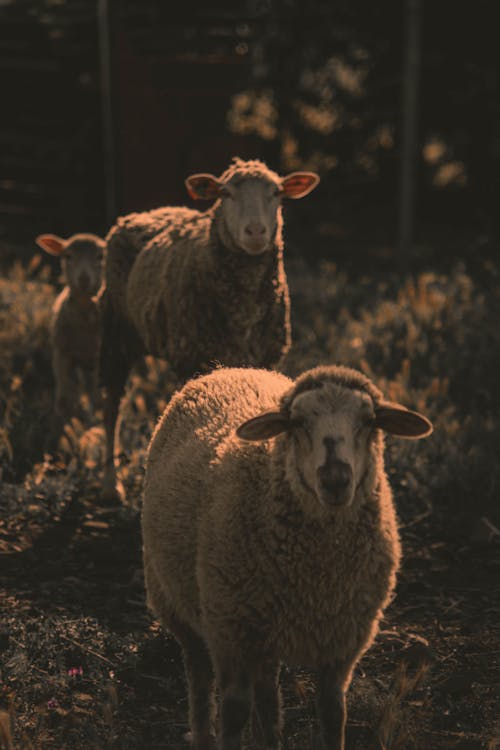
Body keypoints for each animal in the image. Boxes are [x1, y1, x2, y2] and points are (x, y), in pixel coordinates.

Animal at [36, 234, 105, 424]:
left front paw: (93, 419)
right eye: (68, 256)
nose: (84, 279)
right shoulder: (61, 353)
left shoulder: (98, 357)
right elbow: (64, 396)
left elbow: (95, 395)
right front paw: (64, 417)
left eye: (100, 256)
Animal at [101, 157, 318, 500]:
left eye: (277, 193)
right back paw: (111, 483)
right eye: (225, 193)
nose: (255, 232)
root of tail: (143, 213)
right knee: (112, 405)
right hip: (117, 330)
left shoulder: (265, 358)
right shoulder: (191, 358)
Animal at [142, 366, 434, 750]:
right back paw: (205, 734)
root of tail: (227, 369)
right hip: (177, 603)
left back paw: (269, 738)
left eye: (369, 420)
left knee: (267, 690)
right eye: (297, 422)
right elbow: (234, 712)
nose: (336, 478)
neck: (319, 575)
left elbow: (333, 713)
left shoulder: (342, 640)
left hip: (265, 627)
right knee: (200, 679)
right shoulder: (229, 629)